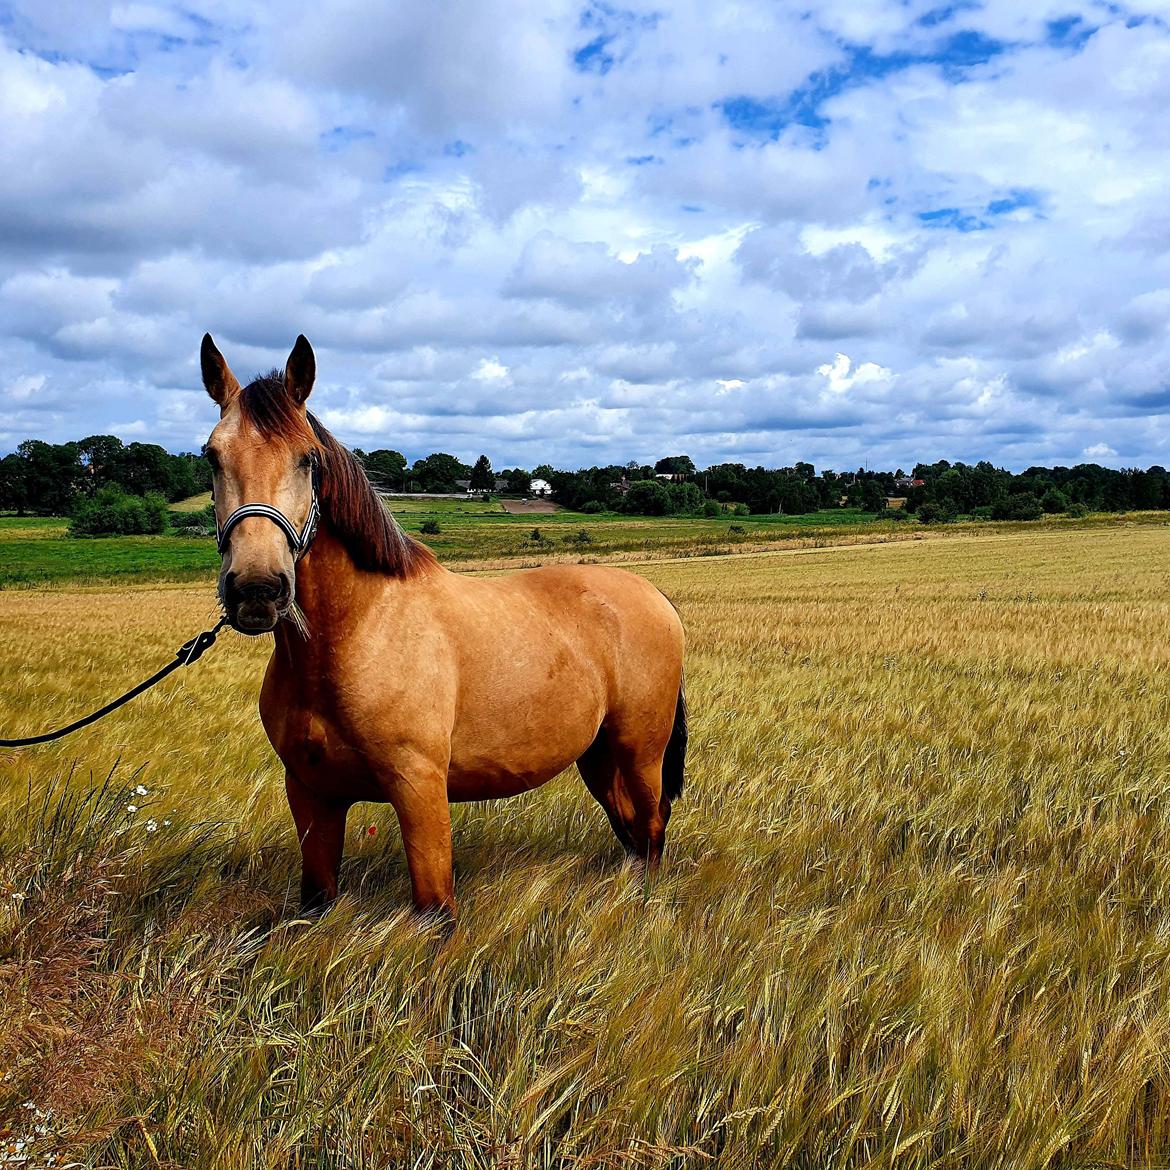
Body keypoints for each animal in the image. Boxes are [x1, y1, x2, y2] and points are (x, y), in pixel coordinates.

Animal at [198, 334, 683, 917]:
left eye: (307, 458)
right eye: (211, 456)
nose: (256, 589)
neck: (356, 635)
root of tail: (655, 597)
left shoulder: (420, 789)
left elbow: (435, 908)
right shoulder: (312, 795)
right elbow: (317, 898)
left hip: (640, 752)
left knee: (651, 828)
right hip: (597, 755)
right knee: (631, 829)